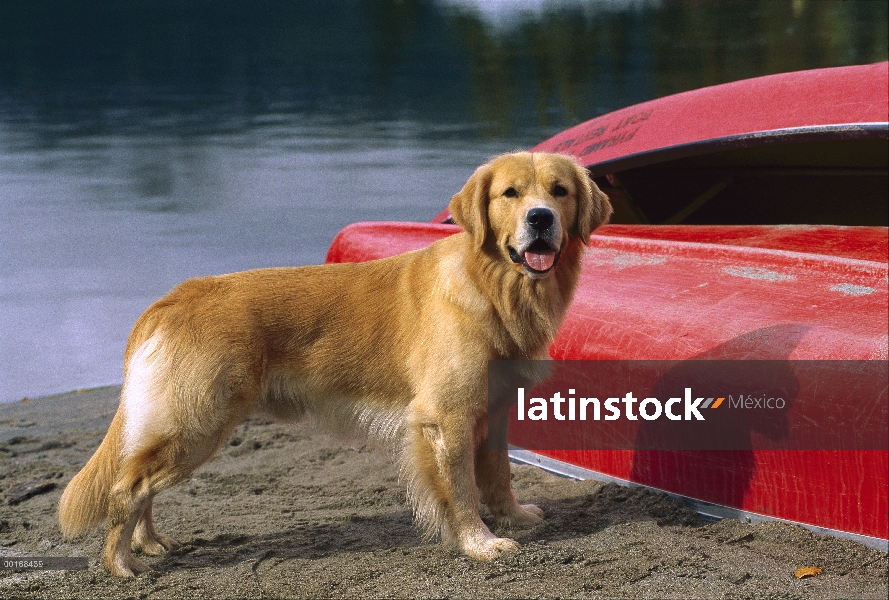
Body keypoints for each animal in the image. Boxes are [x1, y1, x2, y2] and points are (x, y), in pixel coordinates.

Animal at [55, 151, 612, 576]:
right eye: (510, 194)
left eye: (559, 191)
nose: (540, 218)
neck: (493, 284)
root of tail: (173, 298)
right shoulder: (446, 418)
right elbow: (460, 490)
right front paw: (479, 543)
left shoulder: (492, 412)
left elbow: (498, 473)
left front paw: (513, 516)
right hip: (197, 423)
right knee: (126, 488)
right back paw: (121, 563)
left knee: (140, 484)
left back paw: (148, 543)